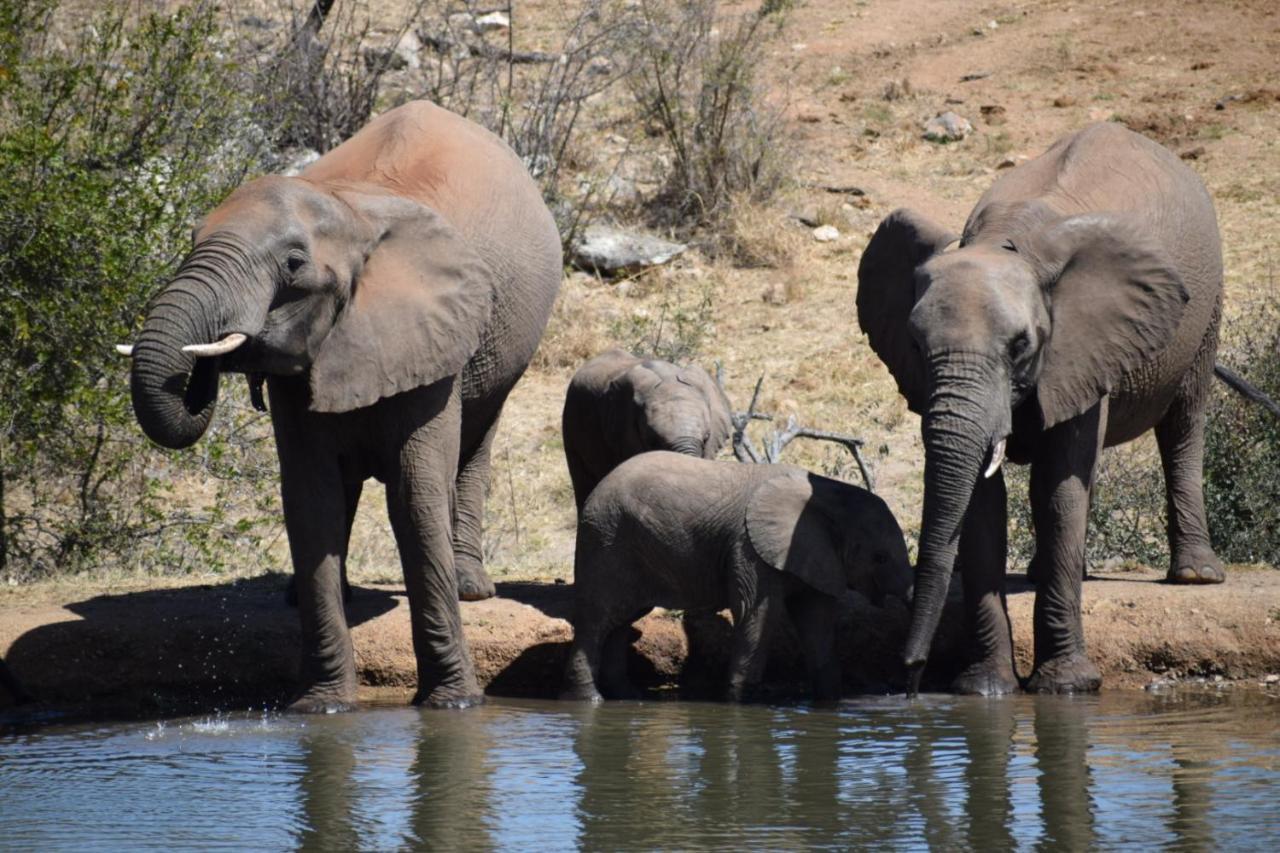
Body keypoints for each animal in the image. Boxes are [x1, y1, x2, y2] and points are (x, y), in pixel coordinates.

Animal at [119, 99, 560, 706]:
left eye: (293, 264)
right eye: (190, 239)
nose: (202, 367)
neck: (351, 214)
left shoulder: (434, 337)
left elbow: (415, 494)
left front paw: (454, 704)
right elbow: (312, 498)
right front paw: (323, 706)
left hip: (503, 346)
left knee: (475, 442)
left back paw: (469, 586)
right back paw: (301, 597)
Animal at [560, 448, 911, 701]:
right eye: (879, 557)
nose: (906, 687)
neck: (829, 494)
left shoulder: (817, 558)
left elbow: (817, 623)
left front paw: (829, 703)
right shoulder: (749, 548)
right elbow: (757, 615)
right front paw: (741, 705)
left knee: (621, 620)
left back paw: (626, 697)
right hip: (606, 538)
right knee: (598, 618)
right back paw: (591, 700)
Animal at [855, 122, 1223, 696]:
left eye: (1021, 345)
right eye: (915, 345)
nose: (911, 674)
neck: (1007, 242)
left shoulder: (1080, 341)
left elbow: (1058, 488)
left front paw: (1067, 688)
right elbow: (982, 501)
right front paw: (985, 690)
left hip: (1206, 307)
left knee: (1183, 423)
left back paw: (1194, 576)